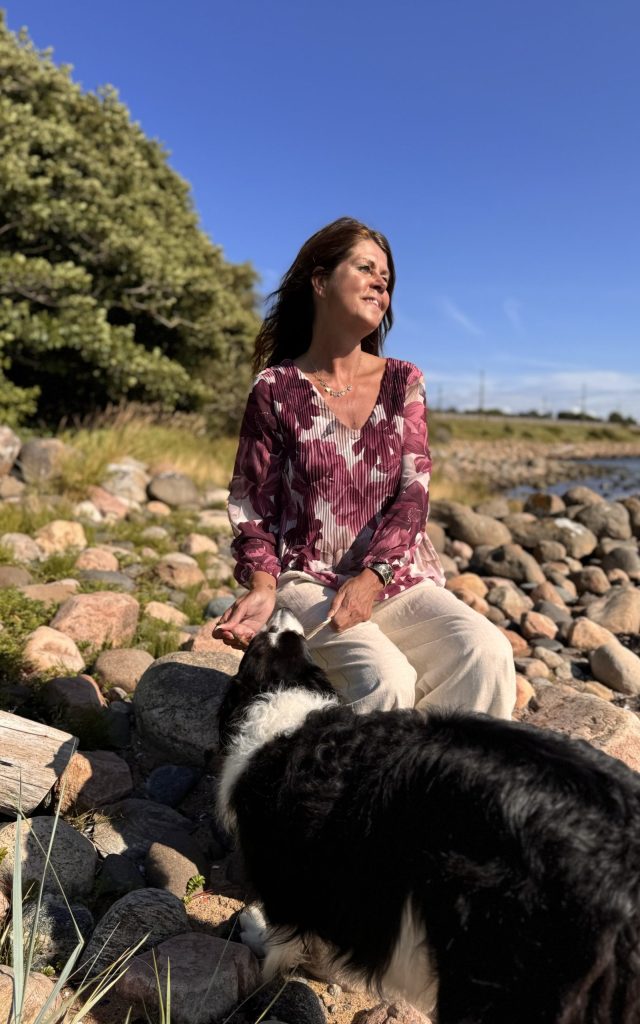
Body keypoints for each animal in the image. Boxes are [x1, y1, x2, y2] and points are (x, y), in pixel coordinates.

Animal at [217, 608, 640, 1024]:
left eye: (262, 642)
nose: (282, 610)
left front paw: (257, 938)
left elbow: (281, 937)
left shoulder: (285, 864)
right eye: (291, 642)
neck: (283, 695)